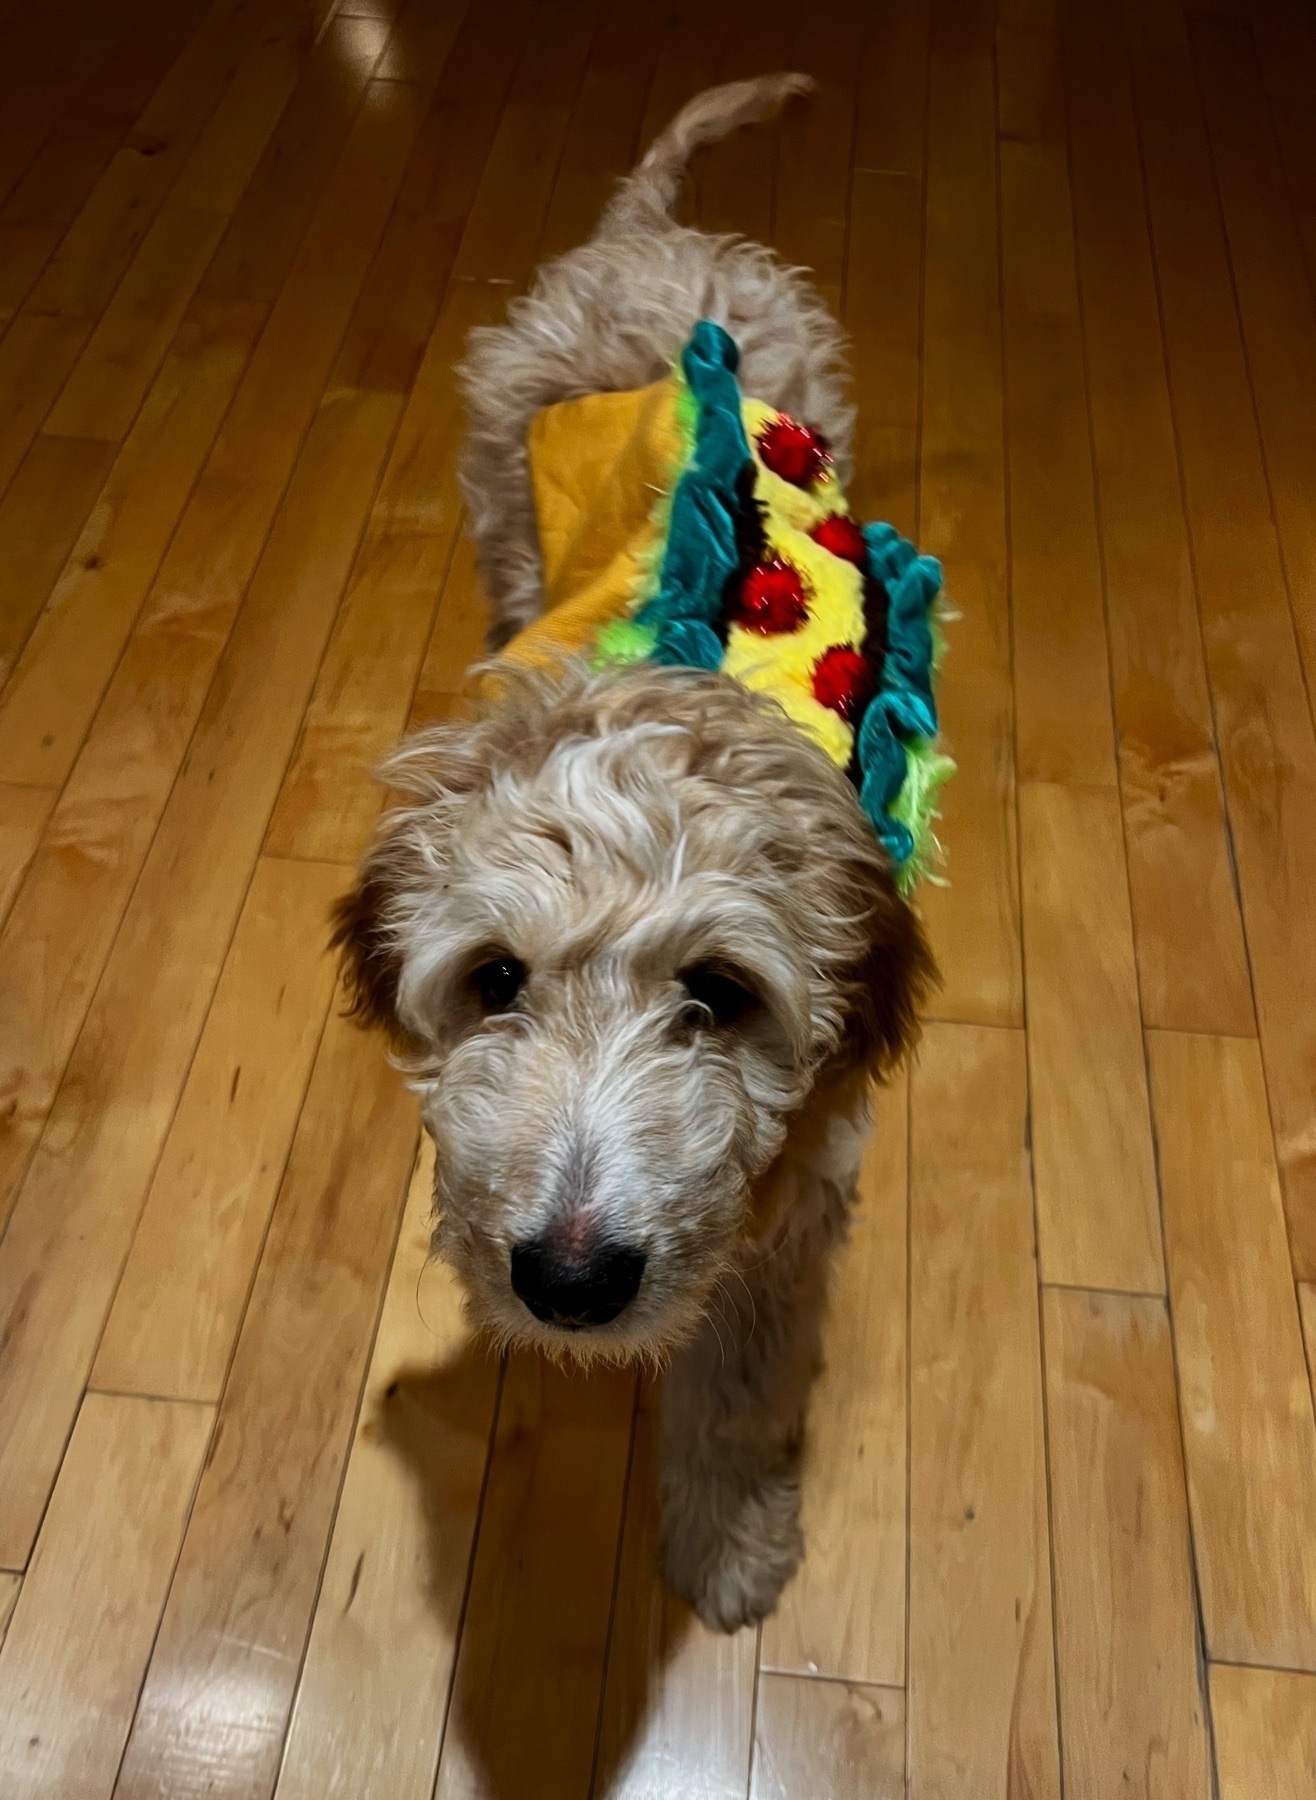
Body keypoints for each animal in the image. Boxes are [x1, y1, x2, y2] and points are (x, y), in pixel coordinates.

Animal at [334, 77, 943, 1641]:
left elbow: (741, 1376)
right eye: (493, 981)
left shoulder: (804, 1187)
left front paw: (725, 1532)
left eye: (719, 994)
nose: (566, 1280)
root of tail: (649, 238)